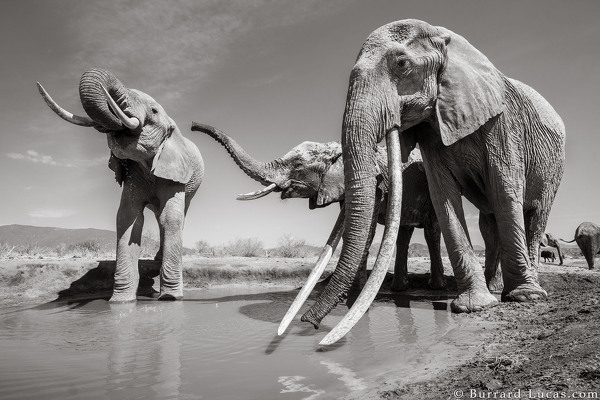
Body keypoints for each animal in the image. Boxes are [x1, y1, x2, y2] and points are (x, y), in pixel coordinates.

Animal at [38, 69, 205, 302]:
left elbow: (170, 218)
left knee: (175, 216)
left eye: (153, 111)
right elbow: (128, 217)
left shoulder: (174, 172)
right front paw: (121, 301)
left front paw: (170, 298)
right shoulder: (133, 173)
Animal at [192, 121, 446, 294]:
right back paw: (399, 288)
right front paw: (353, 291)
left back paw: (435, 286)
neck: (340, 150)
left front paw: (353, 292)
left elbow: (364, 230)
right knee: (404, 233)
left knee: (432, 231)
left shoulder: (375, 185)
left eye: (298, 165)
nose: (193, 125)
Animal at [298, 18, 564, 346]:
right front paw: (475, 306)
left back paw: (528, 290)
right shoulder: (431, 131)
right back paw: (494, 287)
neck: (448, 41)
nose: (308, 324)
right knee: (488, 224)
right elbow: (443, 196)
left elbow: (505, 189)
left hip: (553, 169)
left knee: (535, 215)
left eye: (402, 64)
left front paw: (523, 298)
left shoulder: (503, 124)